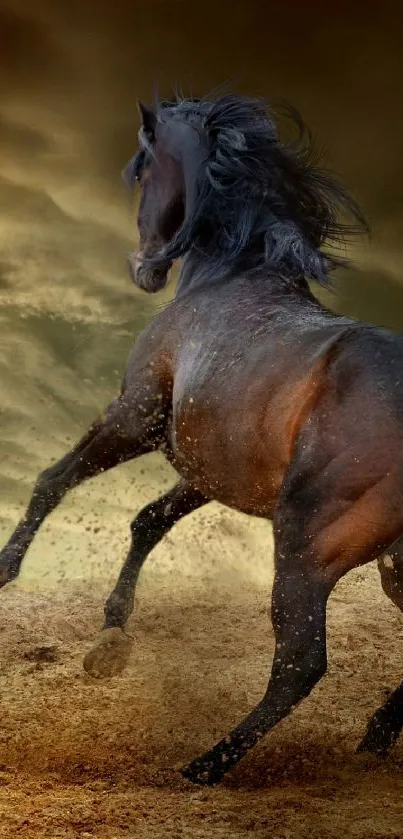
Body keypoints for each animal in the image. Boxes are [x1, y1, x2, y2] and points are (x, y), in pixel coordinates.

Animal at [1, 92, 403, 787]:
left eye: (142, 168)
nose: (144, 269)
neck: (232, 277)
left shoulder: (137, 414)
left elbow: (54, 479)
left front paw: (3, 572)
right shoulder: (208, 469)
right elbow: (147, 521)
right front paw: (111, 638)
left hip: (307, 547)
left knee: (301, 663)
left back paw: (208, 764)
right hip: (392, 566)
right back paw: (374, 737)